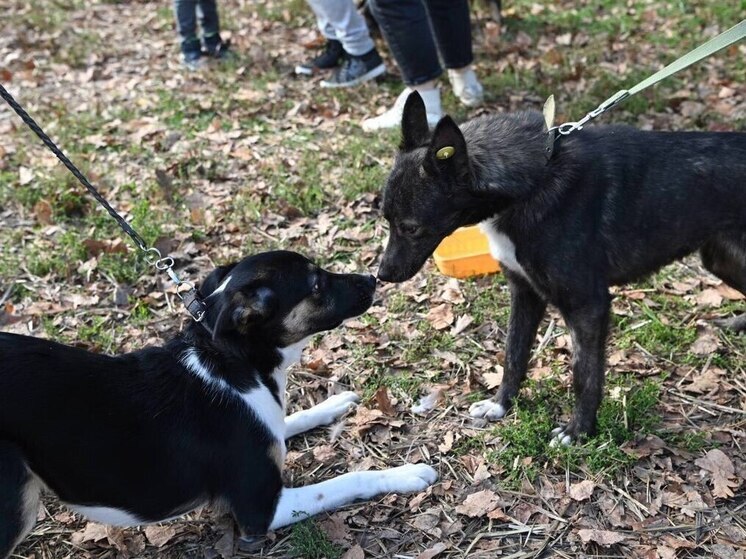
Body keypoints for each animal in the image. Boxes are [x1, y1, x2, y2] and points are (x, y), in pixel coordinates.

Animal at [0, 252, 436, 556]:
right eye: (315, 284)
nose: (372, 278)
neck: (235, 361)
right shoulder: (259, 509)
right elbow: (347, 481)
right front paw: (406, 473)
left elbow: (289, 419)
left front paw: (332, 404)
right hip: (17, 500)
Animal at [378, 92, 744, 446]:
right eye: (385, 219)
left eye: (410, 227)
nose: (383, 275)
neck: (535, 180)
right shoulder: (525, 294)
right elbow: (513, 355)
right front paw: (501, 405)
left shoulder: (588, 306)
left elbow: (584, 375)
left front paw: (578, 432)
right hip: (722, 260)